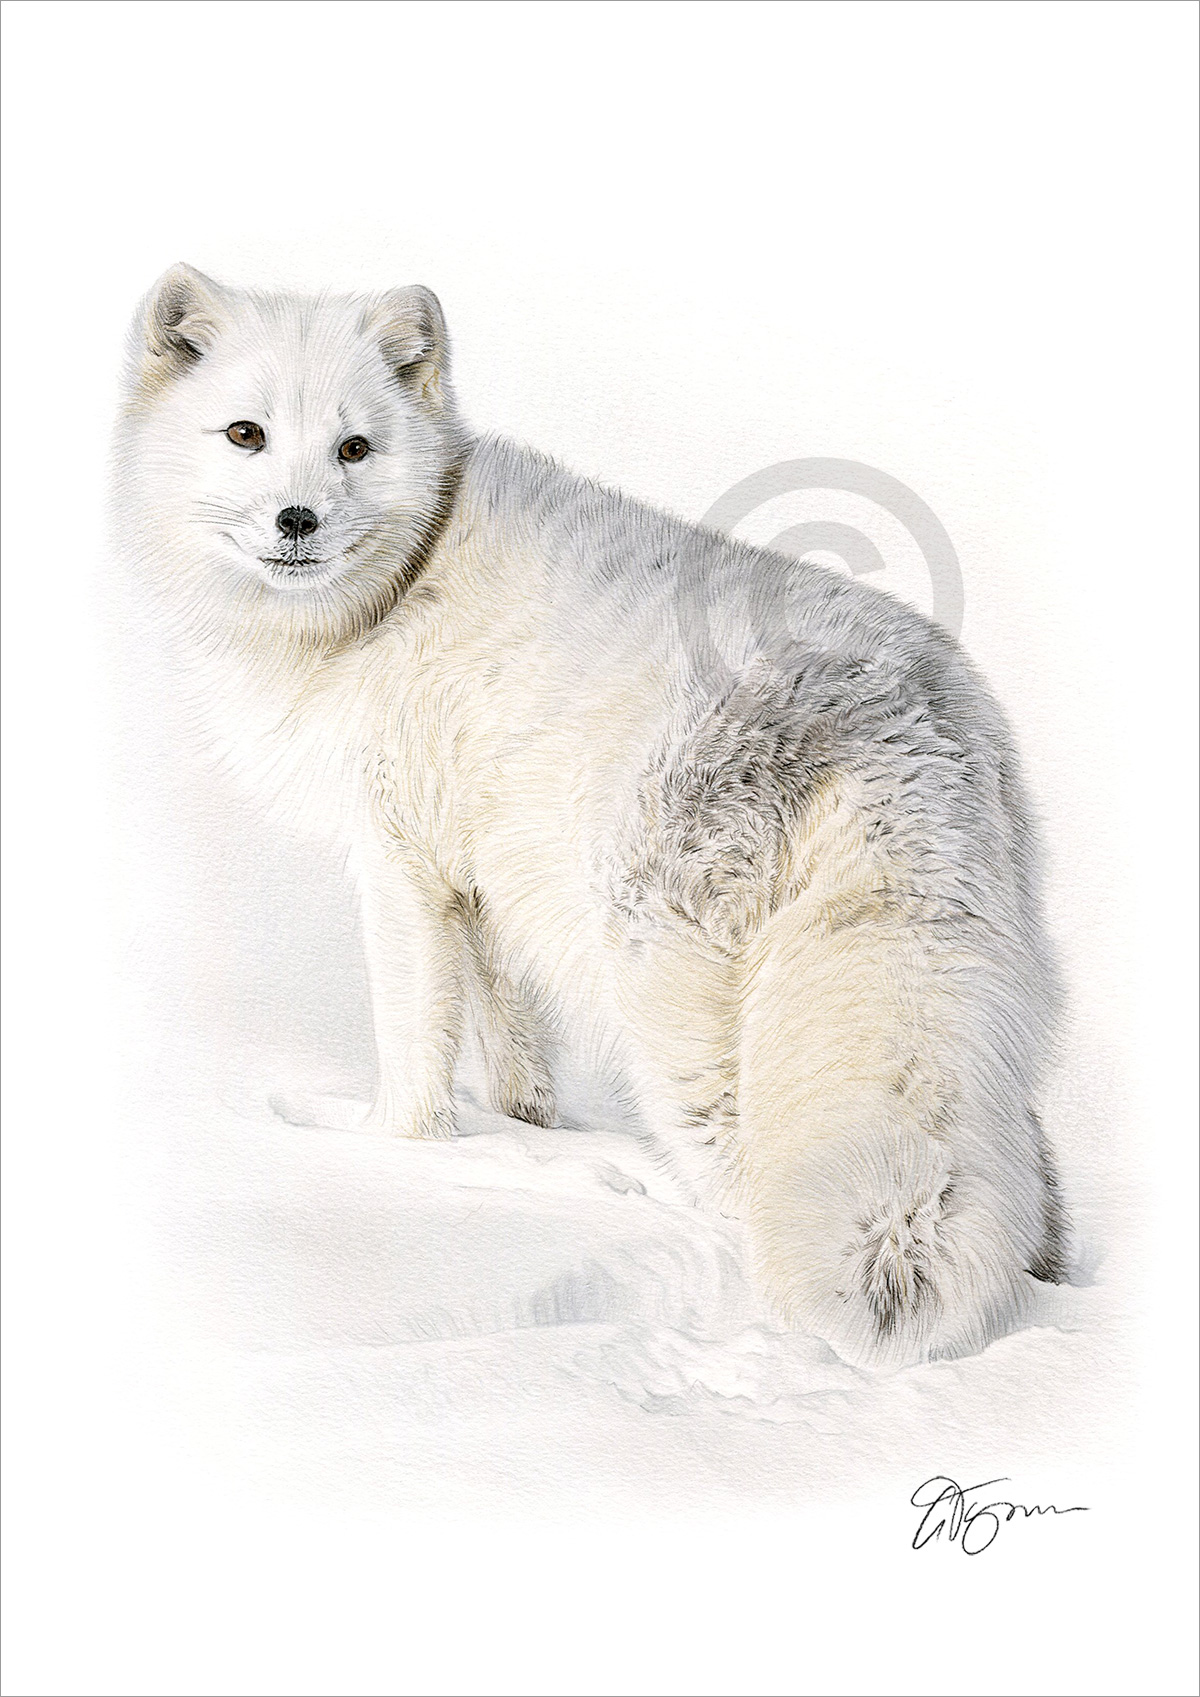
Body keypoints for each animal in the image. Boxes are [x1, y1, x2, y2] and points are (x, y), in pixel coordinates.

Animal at [113, 263, 1069, 1368]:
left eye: (354, 448)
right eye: (246, 434)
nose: (298, 519)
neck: (393, 593)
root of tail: (892, 714)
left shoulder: (401, 866)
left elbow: (412, 1047)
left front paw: (391, 1157)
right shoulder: (485, 884)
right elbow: (513, 1049)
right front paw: (530, 1141)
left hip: (675, 1022)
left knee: (744, 1186)